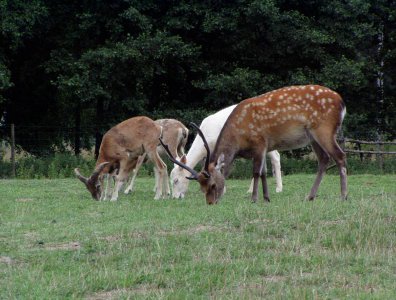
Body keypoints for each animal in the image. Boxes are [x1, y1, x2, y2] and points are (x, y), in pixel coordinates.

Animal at [160, 85, 346, 205]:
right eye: (201, 187)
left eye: (176, 180)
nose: (210, 203)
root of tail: (342, 102)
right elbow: (262, 172)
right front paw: (266, 198)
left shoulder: (259, 143)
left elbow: (253, 171)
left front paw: (253, 198)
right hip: (312, 138)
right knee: (324, 159)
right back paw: (310, 196)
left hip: (323, 130)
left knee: (340, 156)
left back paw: (343, 195)